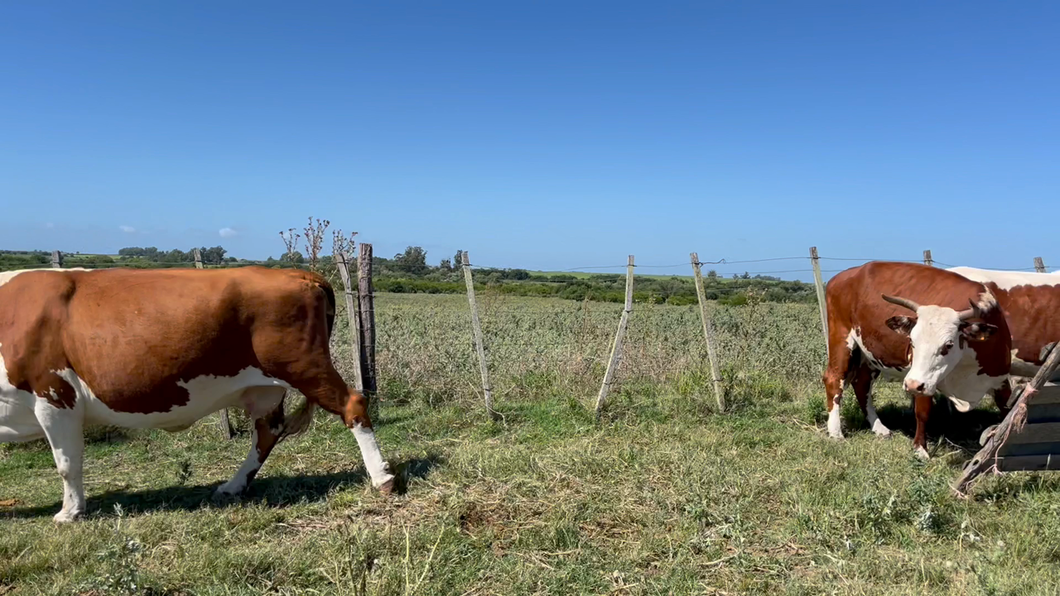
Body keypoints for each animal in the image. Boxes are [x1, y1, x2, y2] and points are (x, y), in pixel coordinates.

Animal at [0, 264, 396, 519]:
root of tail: (297, 273)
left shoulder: (53, 393)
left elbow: (67, 464)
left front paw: (69, 512)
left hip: (303, 365)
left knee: (353, 404)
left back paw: (382, 477)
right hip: (267, 386)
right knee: (267, 432)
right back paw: (233, 486)